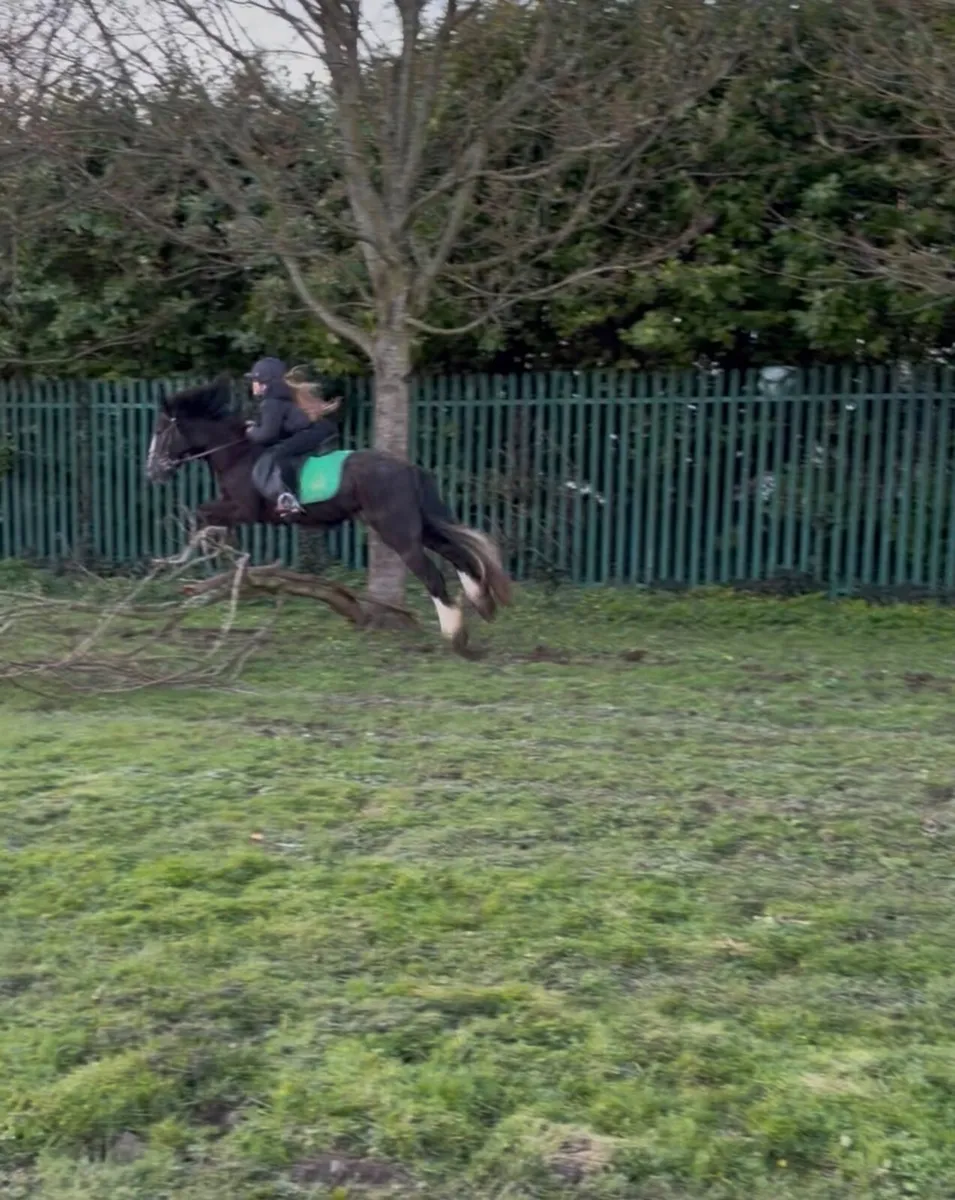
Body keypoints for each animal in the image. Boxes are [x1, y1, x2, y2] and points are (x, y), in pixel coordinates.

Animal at [144, 377, 512, 650]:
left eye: (161, 430)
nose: (152, 472)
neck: (237, 454)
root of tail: (407, 467)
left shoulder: (245, 509)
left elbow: (202, 513)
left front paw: (194, 554)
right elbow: (207, 518)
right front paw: (211, 549)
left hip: (398, 531)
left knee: (432, 574)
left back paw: (455, 635)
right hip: (418, 526)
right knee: (458, 553)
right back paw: (481, 604)